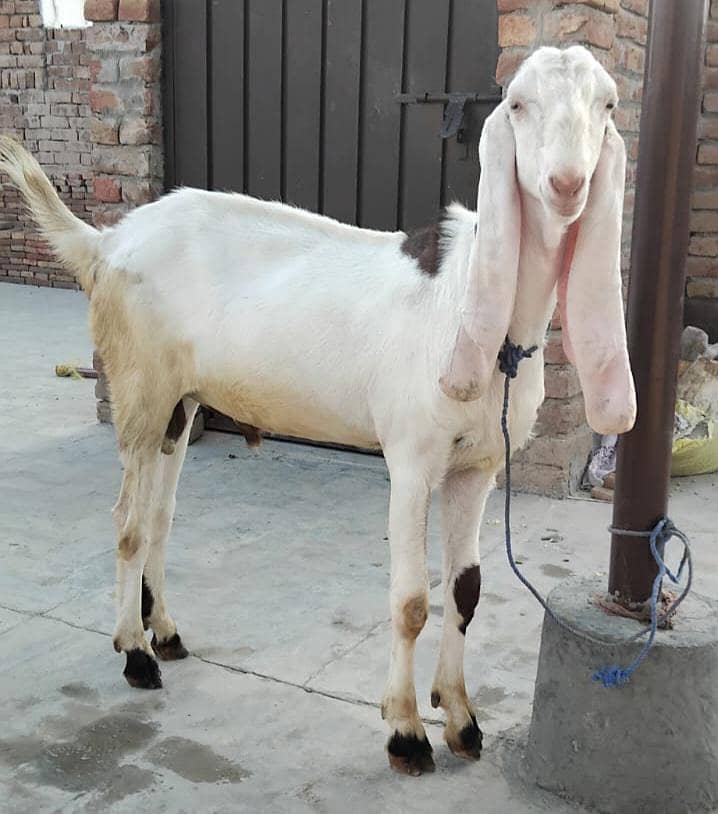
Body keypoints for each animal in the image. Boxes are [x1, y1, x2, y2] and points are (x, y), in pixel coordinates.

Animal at [0, 45, 635, 776]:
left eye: (608, 104)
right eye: (519, 103)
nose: (566, 183)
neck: (467, 306)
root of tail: (106, 244)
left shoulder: (477, 466)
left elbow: (467, 592)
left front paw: (463, 721)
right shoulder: (412, 458)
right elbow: (412, 601)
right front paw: (407, 732)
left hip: (179, 404)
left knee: (159, 517)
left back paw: (164, 634)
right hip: (139, 383)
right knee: (128, 522)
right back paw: (134, 655)